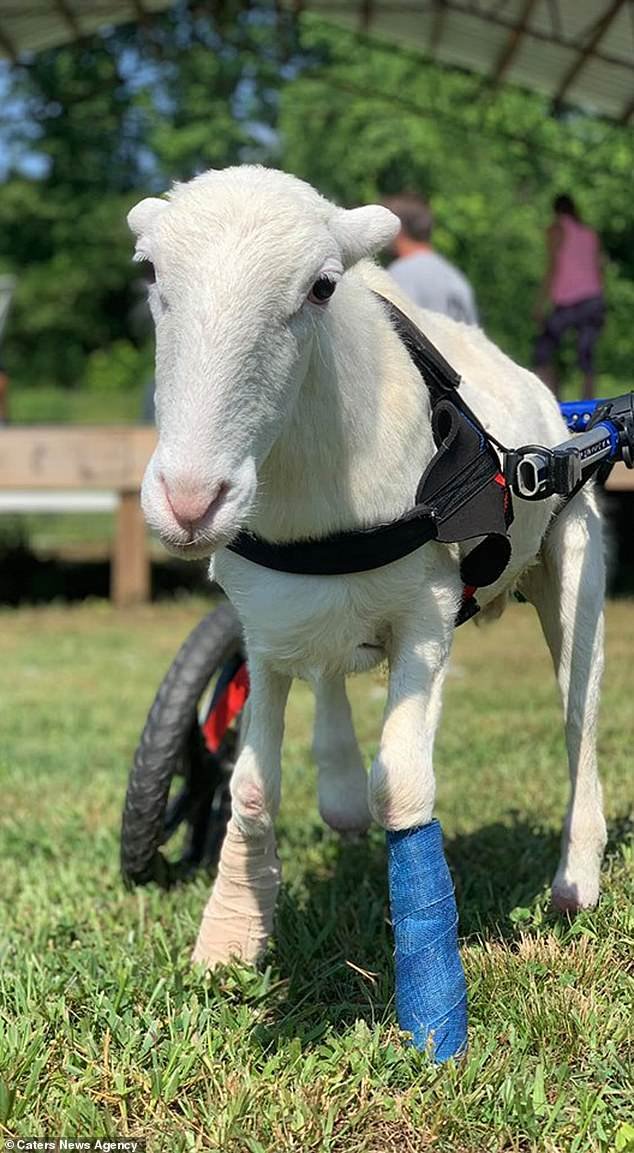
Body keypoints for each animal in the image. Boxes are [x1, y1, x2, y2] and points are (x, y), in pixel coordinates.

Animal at [126, 167, 608, 1056]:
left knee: (577, 713)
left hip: (574, 551)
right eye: (149, 274)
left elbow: (407, 787)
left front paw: (433, 1010)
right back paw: (340, 791)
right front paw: (230, 938)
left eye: (321, 287)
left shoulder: (427, 614)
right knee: (330, 676)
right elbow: (251, 785)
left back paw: (575, 877)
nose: (188, 500)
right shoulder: (261, 625)